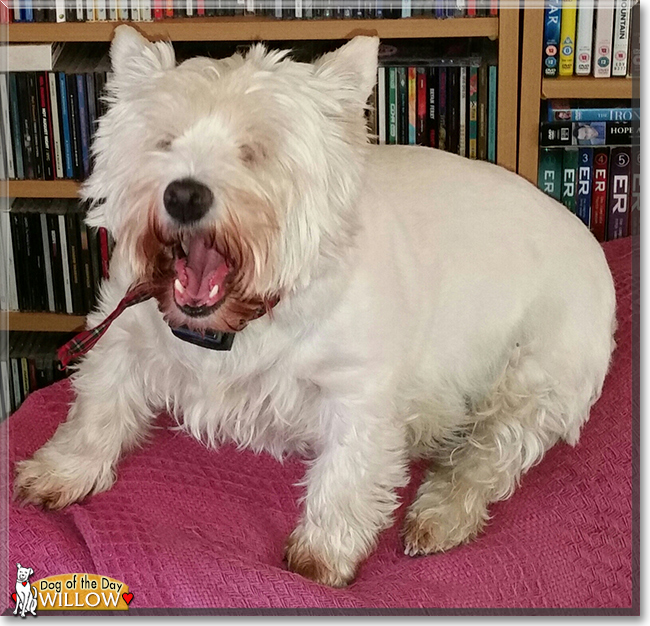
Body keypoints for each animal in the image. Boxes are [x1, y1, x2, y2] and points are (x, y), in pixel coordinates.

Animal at [13, 28, 612, 584]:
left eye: (256, 152)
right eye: (164, 141)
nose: (183, 195)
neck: (236, 324)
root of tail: (589, 242)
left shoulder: (359, 390)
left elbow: (346, 471)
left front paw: (323, 554)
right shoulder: (121, 329)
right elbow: (97, 406)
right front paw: (61, 471)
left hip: (534, 379)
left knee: (490, 456)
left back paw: (438, 516)